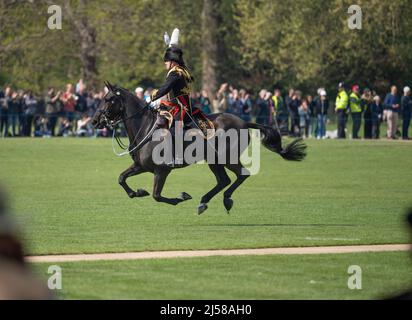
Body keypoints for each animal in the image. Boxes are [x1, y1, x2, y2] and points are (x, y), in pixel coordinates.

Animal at [92, 82, 306, 214]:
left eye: (108, 99)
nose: (95, 121)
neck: (145, 127)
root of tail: (244, 122)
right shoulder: (141, 166)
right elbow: (122, 178)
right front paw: (137, 192)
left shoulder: (162, 170)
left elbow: (157, 196)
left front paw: (180, 197)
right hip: (214, 161)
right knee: (224, 180)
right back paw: (205, 201)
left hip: (226, 158)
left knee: (240, 175)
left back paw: (224, 199)